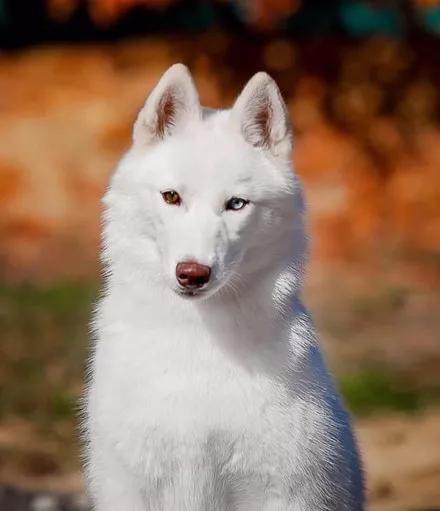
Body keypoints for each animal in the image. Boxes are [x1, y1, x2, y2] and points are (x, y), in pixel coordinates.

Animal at [85, 65, 364, 511]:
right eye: (171, 197)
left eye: (236, 204)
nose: (192, 273)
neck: (196, 341)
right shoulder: (129, 487)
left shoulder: (283, 492)